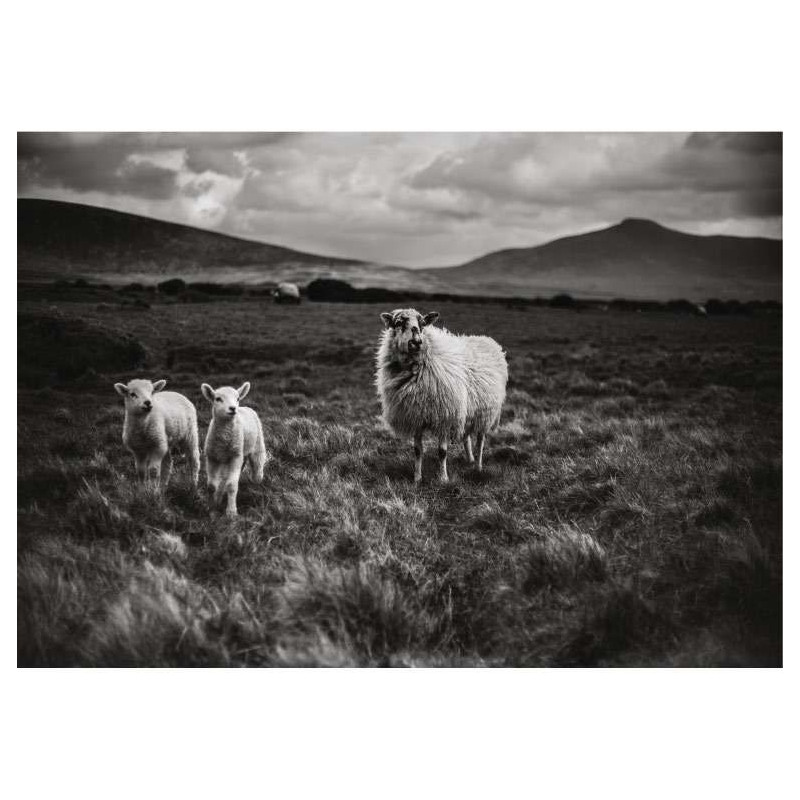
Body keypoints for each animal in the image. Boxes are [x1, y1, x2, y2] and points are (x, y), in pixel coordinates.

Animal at [200, 382, 266, 520]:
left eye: (237, 398)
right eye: (218, 399)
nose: (233, 408)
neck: (224, 436)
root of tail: (246, 407)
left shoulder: (235, 457)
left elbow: (231, 485)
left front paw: (231, 512)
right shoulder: (212, 457)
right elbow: (211, 486)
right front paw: (211, 509)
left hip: (256, 447)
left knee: (257, 468)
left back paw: (256, 488)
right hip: (234, 455)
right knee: (224, 479)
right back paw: (219, 497)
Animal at [376, 306, 506, 482]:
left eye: (423, 324)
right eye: (398, 323)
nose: (417, 342)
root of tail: (486, 339)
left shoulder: (445, 415)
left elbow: (442, 452)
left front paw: (443, 478)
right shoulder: (416, 416)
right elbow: (417, 450)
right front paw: (417, 478)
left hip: (485, 413)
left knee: (480, 442)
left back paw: (478, 467)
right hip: (466, 411)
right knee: (466, 436)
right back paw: (470, 459)